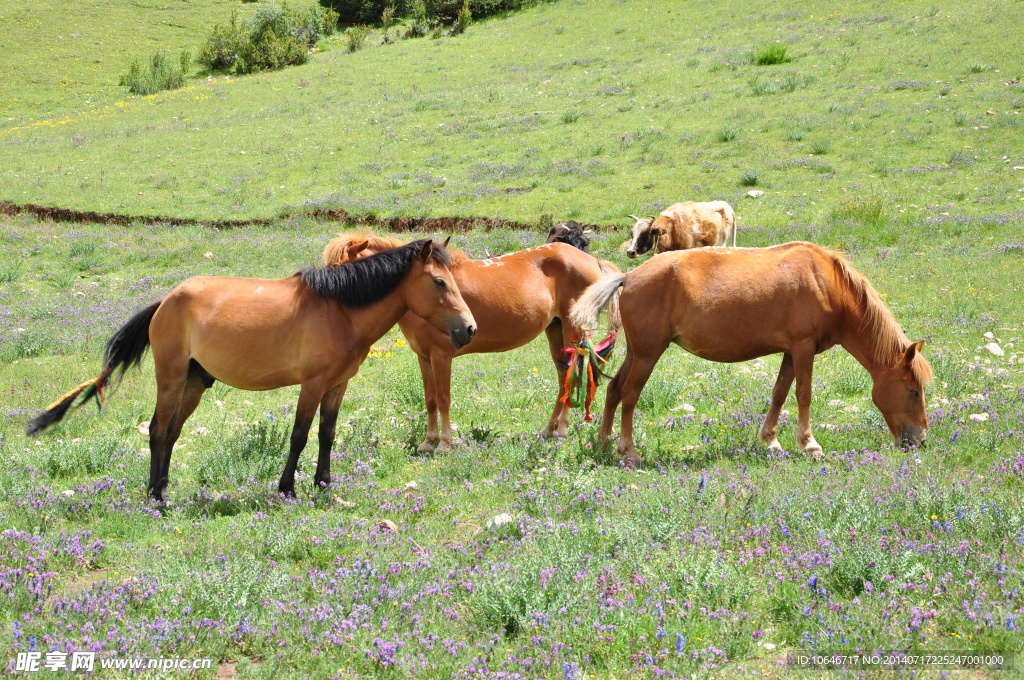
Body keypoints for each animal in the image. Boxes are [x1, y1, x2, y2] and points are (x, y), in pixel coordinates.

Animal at [27, 238, 475, 499]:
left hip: (194, 384)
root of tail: (166, 301)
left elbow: (326, 435)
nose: (468, 329)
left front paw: (324, 485)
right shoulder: (312, 384)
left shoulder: (337, 385)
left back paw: (164, 489)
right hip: (170, 378)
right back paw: (155, 496)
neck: (340, 311)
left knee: (171, 433)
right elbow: (299, 436)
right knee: (156, 431)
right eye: (439, 282)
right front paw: (287, 488)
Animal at [323, 229, 618, 450]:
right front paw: (428, 442)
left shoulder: (441, 356)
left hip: (572, 329)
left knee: (573, 373)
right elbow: (430, 399)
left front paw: (444, 443)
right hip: (555, 329)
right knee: (562, 375)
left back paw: (562, 430)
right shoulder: (424, 357)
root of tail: (591, 260)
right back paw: (548, 430)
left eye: (342, 272)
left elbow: (443, 398)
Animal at [573, 241, 933, 458]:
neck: (826, 283)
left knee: (614, 390)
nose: (919, 440)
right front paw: (809, 444)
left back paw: (605, 443)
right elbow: (804, 394)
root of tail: (628, 277)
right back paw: (628, 449)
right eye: (913, 391)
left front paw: (771, 440)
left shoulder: (791, 352)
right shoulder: (803, 348)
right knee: (630, 394)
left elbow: (780, 393)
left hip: (637, 353)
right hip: (648, 355)